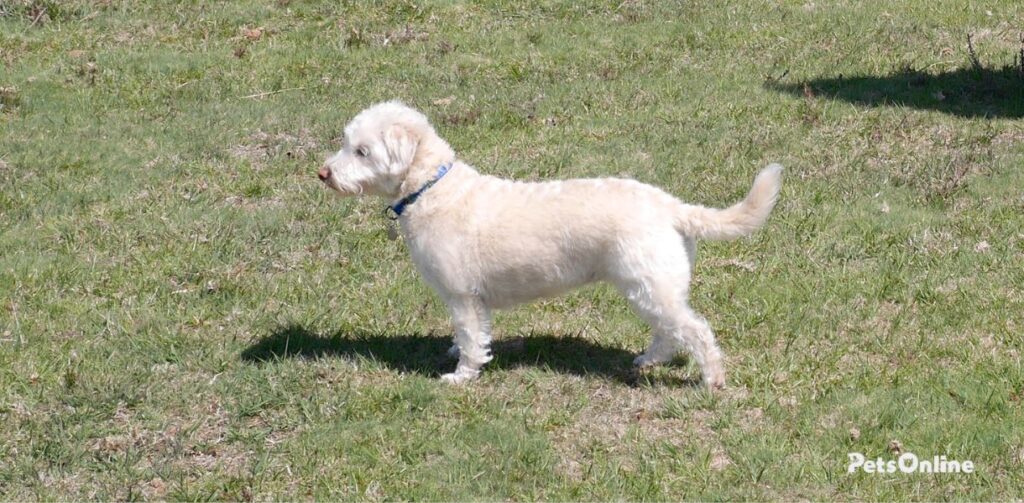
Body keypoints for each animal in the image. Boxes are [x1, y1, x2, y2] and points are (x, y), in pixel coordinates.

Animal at [315, 100, 778, 387]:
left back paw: (712, 380)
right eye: (346, 142)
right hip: (651, 287)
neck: (432, 188)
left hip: (651, 285)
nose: (323, 174)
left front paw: (461, 376)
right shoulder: (469, 300)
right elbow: (469, 335)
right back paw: (647, 361)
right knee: (670, 330)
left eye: (362, 151)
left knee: (695, 330)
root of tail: (671, 205)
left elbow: (471, 337)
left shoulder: (462, 295)